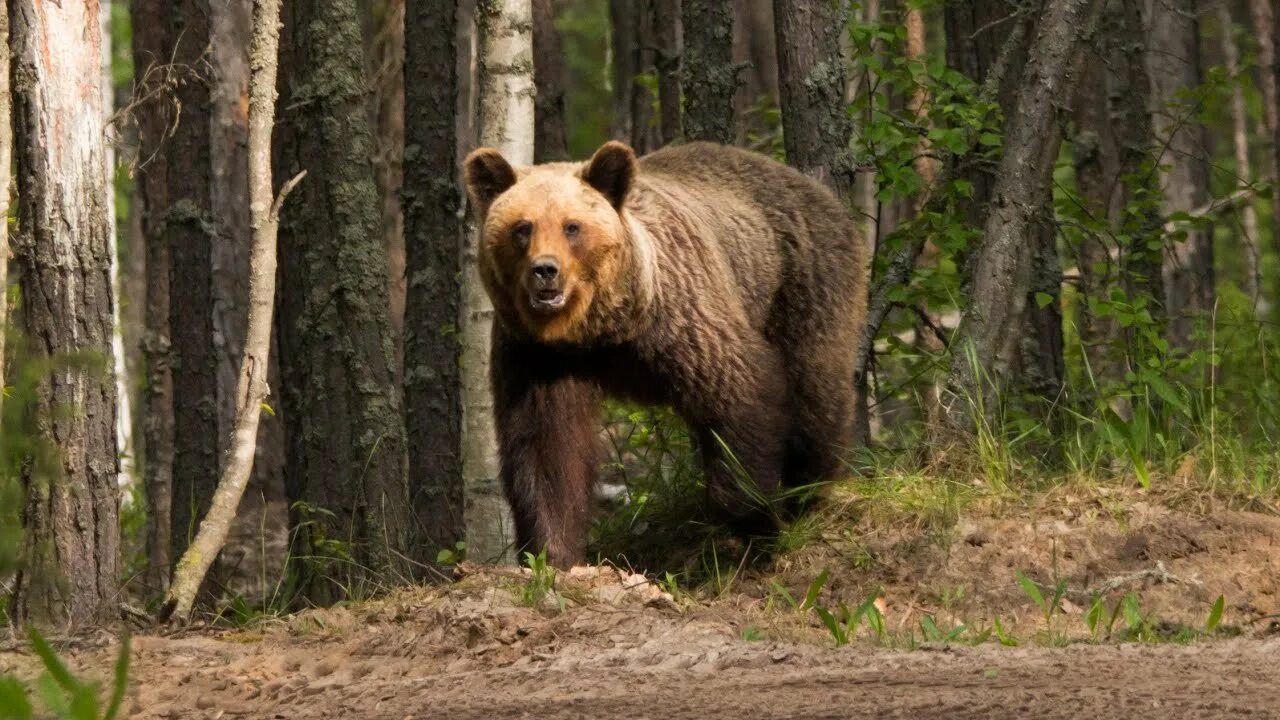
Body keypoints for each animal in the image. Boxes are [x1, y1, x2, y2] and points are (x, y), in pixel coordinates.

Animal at [465, 141, 865, 566]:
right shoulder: (538, 355)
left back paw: (807, 489)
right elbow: (546, 446)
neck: (601, 329)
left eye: (572, 226)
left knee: (814, 390)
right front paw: (553, 551)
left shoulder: (682, 317)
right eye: (522, 227)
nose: (545, 271)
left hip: (803, 282)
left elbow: (739, 393)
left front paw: (757, 521)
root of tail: (813, 187)